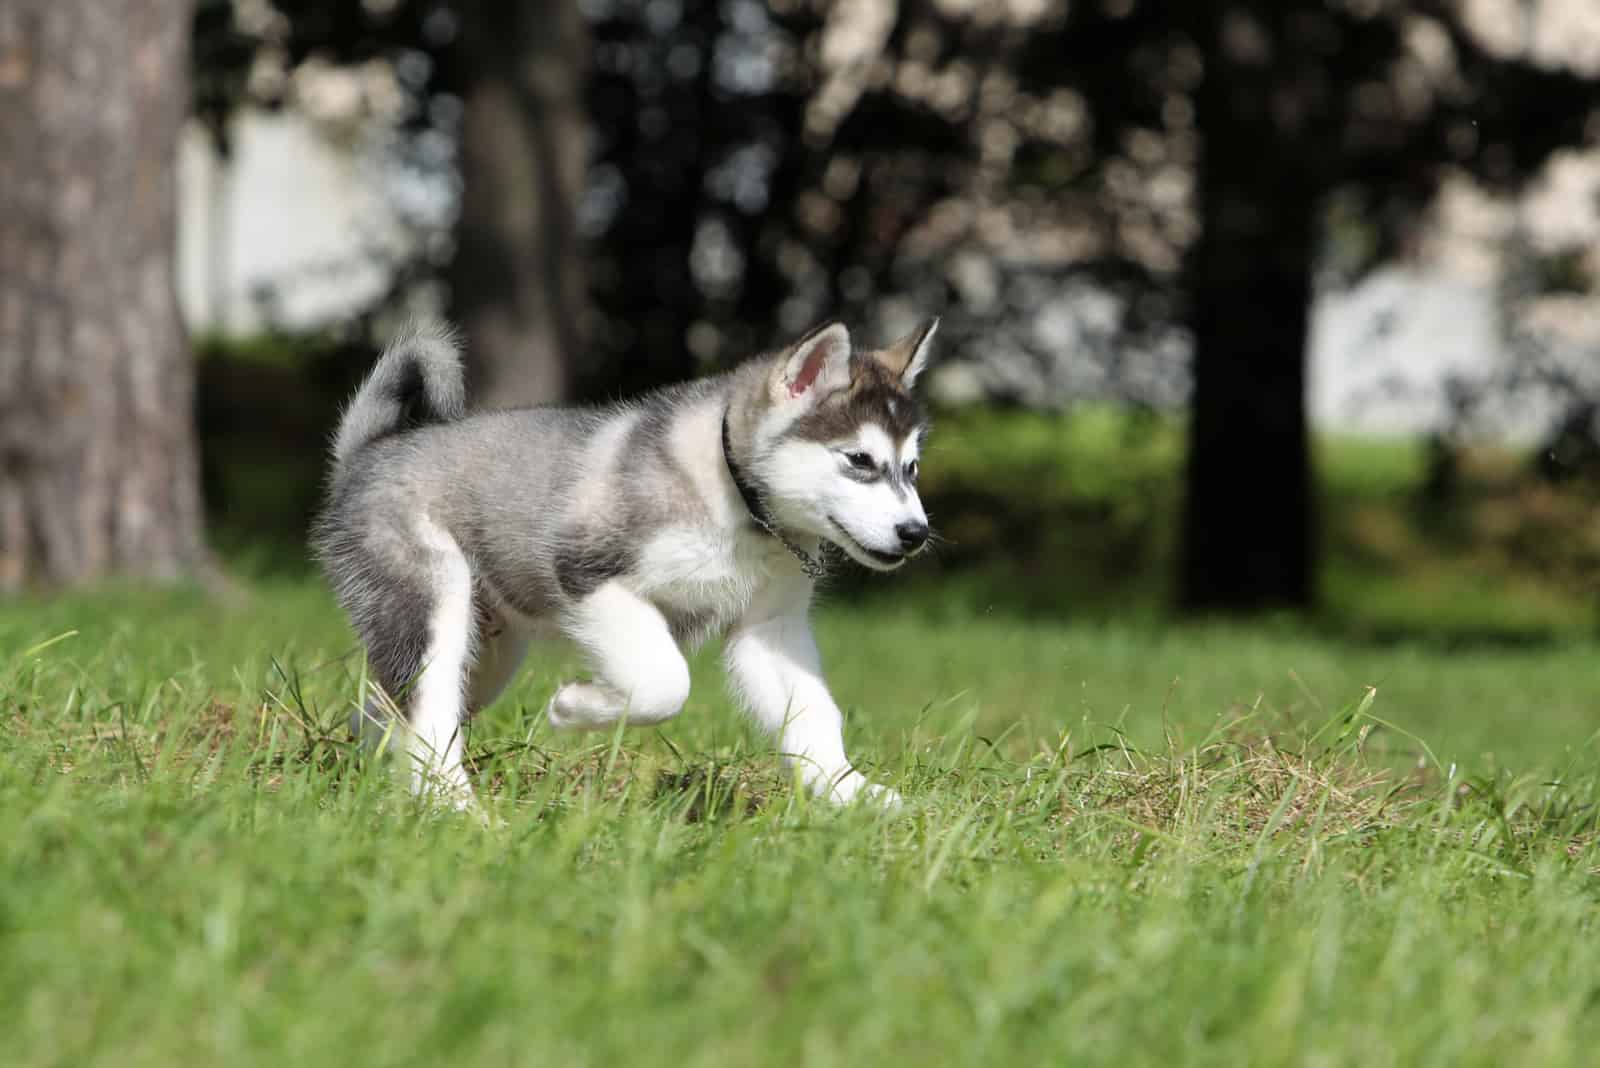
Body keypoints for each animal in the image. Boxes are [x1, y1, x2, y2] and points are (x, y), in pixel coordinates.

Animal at [312, 316, 934, 808]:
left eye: (912, 468)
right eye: (859, 460)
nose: (916, 534)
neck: (736, 498)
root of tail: (366, 453)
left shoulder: (770, 629)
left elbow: (813, 714)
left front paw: (850, 792)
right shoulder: (590, 576)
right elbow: (665, 681)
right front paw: (572, 708)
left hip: (486, 653)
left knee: (391, 710)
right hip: (434, 604)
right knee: (427, 710)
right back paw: (456, 810)